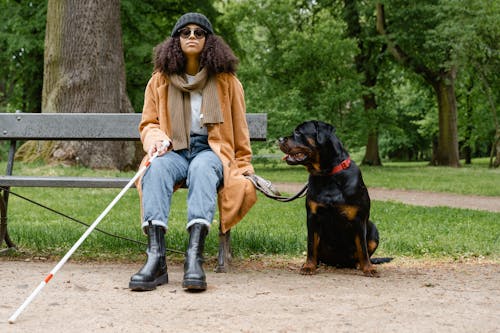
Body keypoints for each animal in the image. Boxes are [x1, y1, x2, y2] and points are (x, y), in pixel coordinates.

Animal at [280, 119, 380, 274]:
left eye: (298, 132)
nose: (279, 139)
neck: (328, 175)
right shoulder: (312, 216)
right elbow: (311, 245)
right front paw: (309, 266)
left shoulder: (359, 219)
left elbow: (362, 247)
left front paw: (368, 268)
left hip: (374, 229)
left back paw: (360, 264)